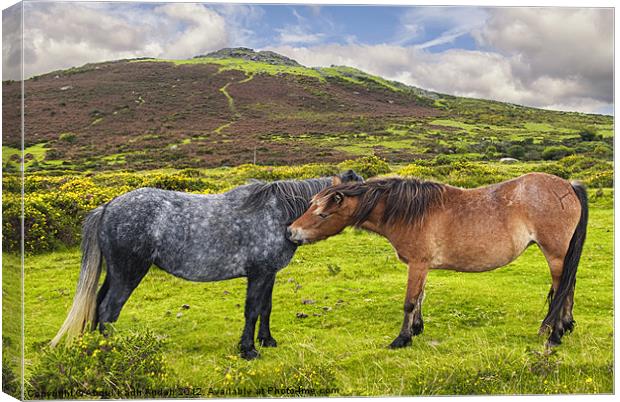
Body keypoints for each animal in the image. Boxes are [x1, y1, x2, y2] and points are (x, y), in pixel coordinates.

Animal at [53, 170, 366, 358]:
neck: (279, 215)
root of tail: (107, 207)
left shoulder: (269, 274)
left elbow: (265, 309)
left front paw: (267, 341)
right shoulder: (258, 274)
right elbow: (252, 311)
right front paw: (248, 350)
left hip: (116, 273)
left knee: (98, 304)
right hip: (128, 273)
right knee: (108, 310)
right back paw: (110, 351)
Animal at [288, 173, 588, 348]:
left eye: (323, 214)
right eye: (311, 206)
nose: (291, 232)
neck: (410, 212)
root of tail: (568, 185)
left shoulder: (417, 264)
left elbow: (410, 301)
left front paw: (402, 338)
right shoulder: (423, 266)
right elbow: (421, 297)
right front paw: (417, 330)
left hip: (555, 255)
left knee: (562, 289)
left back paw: (555, 335)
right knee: (569, 287)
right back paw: (566, 327)